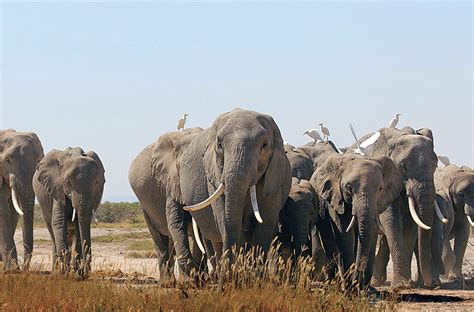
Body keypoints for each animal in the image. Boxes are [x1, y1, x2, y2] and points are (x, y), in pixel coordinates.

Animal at [0, 129, 44, 270]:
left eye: (38, 162)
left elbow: (13, 212)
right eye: (7, 161)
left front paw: (10, 267)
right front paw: (13, 269)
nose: (25, 267)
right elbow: (3, 211)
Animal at [32, 146, 105, 276]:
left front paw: (76, 271)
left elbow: (79, 224)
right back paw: (56, 270)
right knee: (52, 232)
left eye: (96, 182)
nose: (85, 271)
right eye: (67, 182)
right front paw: (65, 271)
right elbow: (58, 222)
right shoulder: (57, 187)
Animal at [148, 109, 290, 282]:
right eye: (220, 145)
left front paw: (254, 280)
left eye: (264, 146)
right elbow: (222, 217)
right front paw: (234, 278)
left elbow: (265, 222)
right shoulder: (213, 171)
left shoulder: (275, 173)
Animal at [352, 127, 440, 288]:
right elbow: (391, 219)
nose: (430, 284)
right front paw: (402, 284)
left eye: (436, 165)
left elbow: (410, 225)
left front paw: (407, 283)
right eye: (403, 166)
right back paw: (375, 282)